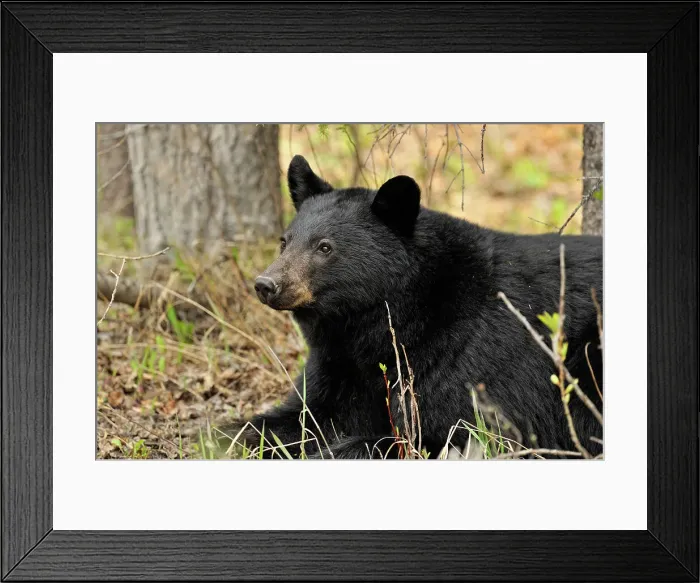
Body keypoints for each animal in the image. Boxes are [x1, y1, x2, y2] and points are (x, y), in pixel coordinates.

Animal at [229, 154, 603, 459]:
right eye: (285, 241)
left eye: (324, 247)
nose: (266, 284)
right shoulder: (339, 362)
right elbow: (305, 414)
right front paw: (235, 437)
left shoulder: (466, 356)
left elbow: (450, 430)